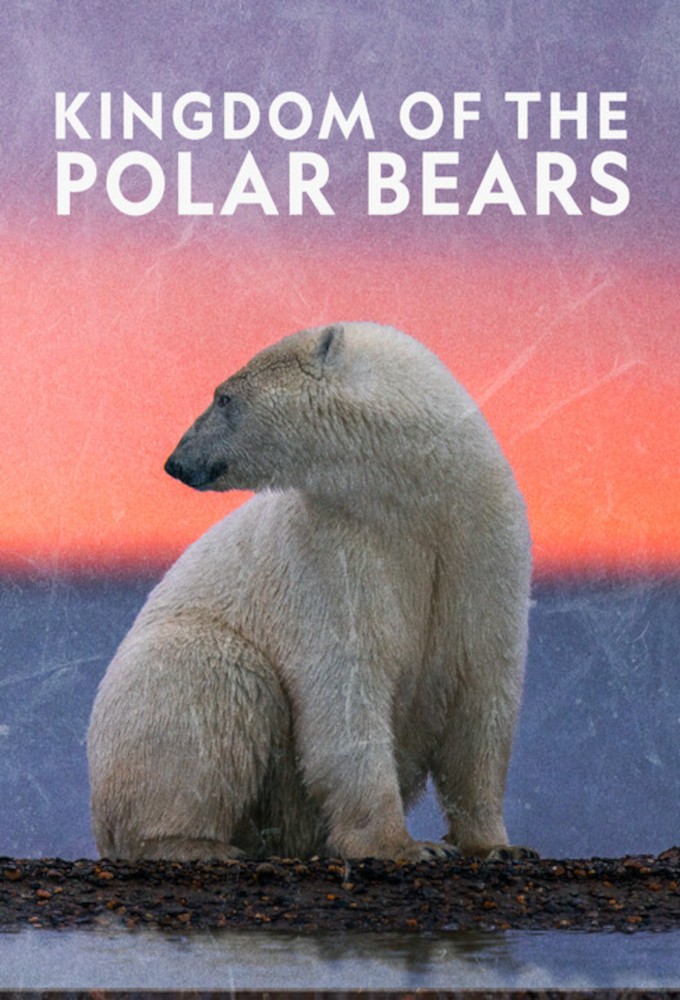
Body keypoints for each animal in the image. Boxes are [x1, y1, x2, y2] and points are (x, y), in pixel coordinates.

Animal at [87, 321, 534, 863]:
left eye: (223, 397)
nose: (176, 461)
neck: (416, 499)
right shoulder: (333, 550)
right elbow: (345, 684)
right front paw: (403, 846)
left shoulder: (481, 547)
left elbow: (482, 694)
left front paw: (496, 845)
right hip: (164, 676)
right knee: (213, 679)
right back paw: (193, 843)